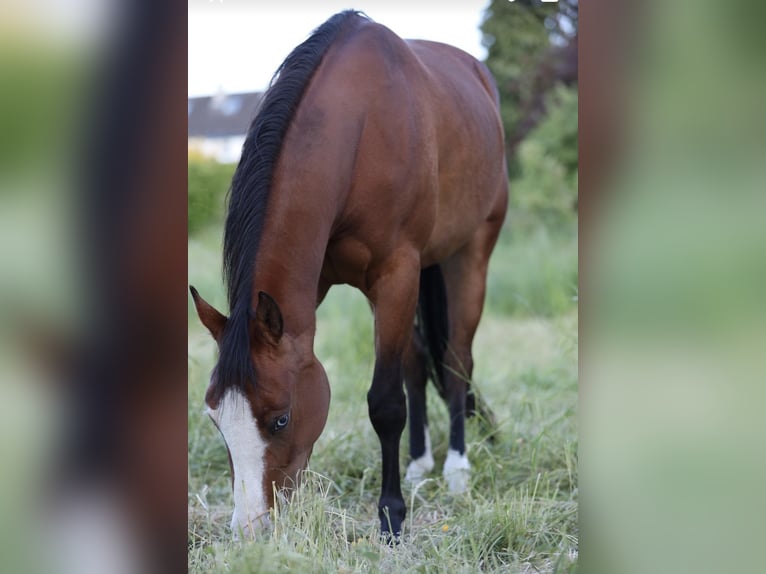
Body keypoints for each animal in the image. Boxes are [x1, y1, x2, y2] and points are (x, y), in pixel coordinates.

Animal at [190, 10, 507, 540]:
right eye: (216, 420)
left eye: (280, 420)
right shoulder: (316, 289)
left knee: (456, 358)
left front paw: (391, 515)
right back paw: (419, 463)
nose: (250, 529)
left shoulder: (397, 272)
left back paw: (457, 469)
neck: (360, 129)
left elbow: (386, 402)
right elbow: (403, 375)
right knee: (418, 359)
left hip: (471, 251)